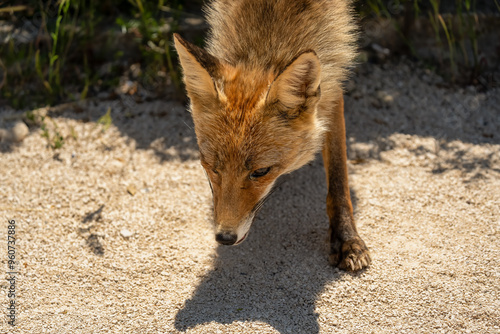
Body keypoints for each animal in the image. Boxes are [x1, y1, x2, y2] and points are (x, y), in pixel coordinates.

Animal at [174, 0, 370, 272]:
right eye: (212, 167)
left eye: (260, 172)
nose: (224, 237)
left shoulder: (332, 89)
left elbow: (339, 178)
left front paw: (347, 240)